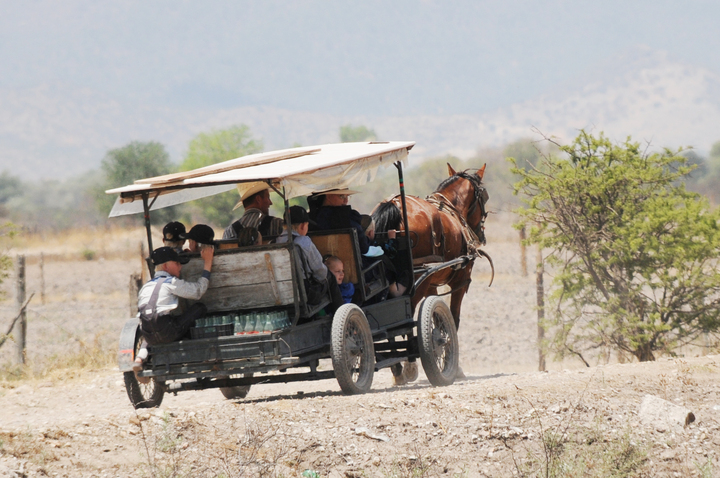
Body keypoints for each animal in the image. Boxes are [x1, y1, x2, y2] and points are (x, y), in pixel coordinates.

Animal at [372, 163, 493, 383]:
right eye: (484, 196)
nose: (481, 235)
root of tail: (394, 206)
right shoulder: (459, 283)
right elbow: (452, 320)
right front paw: (454, 365)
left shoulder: (431, 284)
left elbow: (435, 319)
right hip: (415, 285)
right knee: (403, 321)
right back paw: (408, 367)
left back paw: (397, 369)